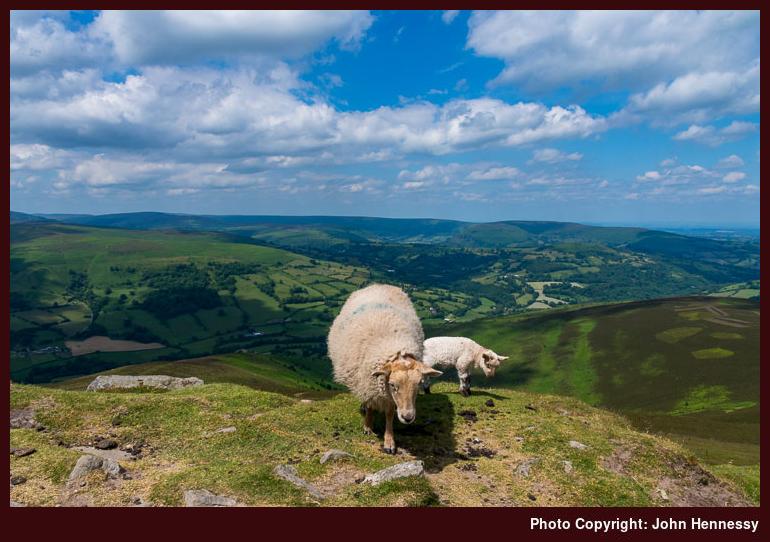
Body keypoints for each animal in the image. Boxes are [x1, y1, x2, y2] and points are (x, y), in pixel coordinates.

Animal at [327, 284, 442, 454]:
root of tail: (378, 284)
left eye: (419, 384)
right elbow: (370, 405)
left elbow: (389, 414)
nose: (408, 417)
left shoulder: (388, 397)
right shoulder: (367, 384)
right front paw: (368, 426)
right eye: (393, 385)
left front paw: (389, 441)